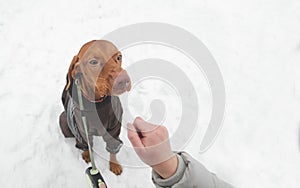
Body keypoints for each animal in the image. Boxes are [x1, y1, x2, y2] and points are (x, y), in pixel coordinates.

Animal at [59, 40, 131, 176]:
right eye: (93, 62)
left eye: (119, 57)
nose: (124, 80)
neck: (97, 103)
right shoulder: (82, 131)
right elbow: (87, 145)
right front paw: (88, 155)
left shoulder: (114, 129)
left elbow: (113, 148)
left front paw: (114, 164)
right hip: (63, 120)